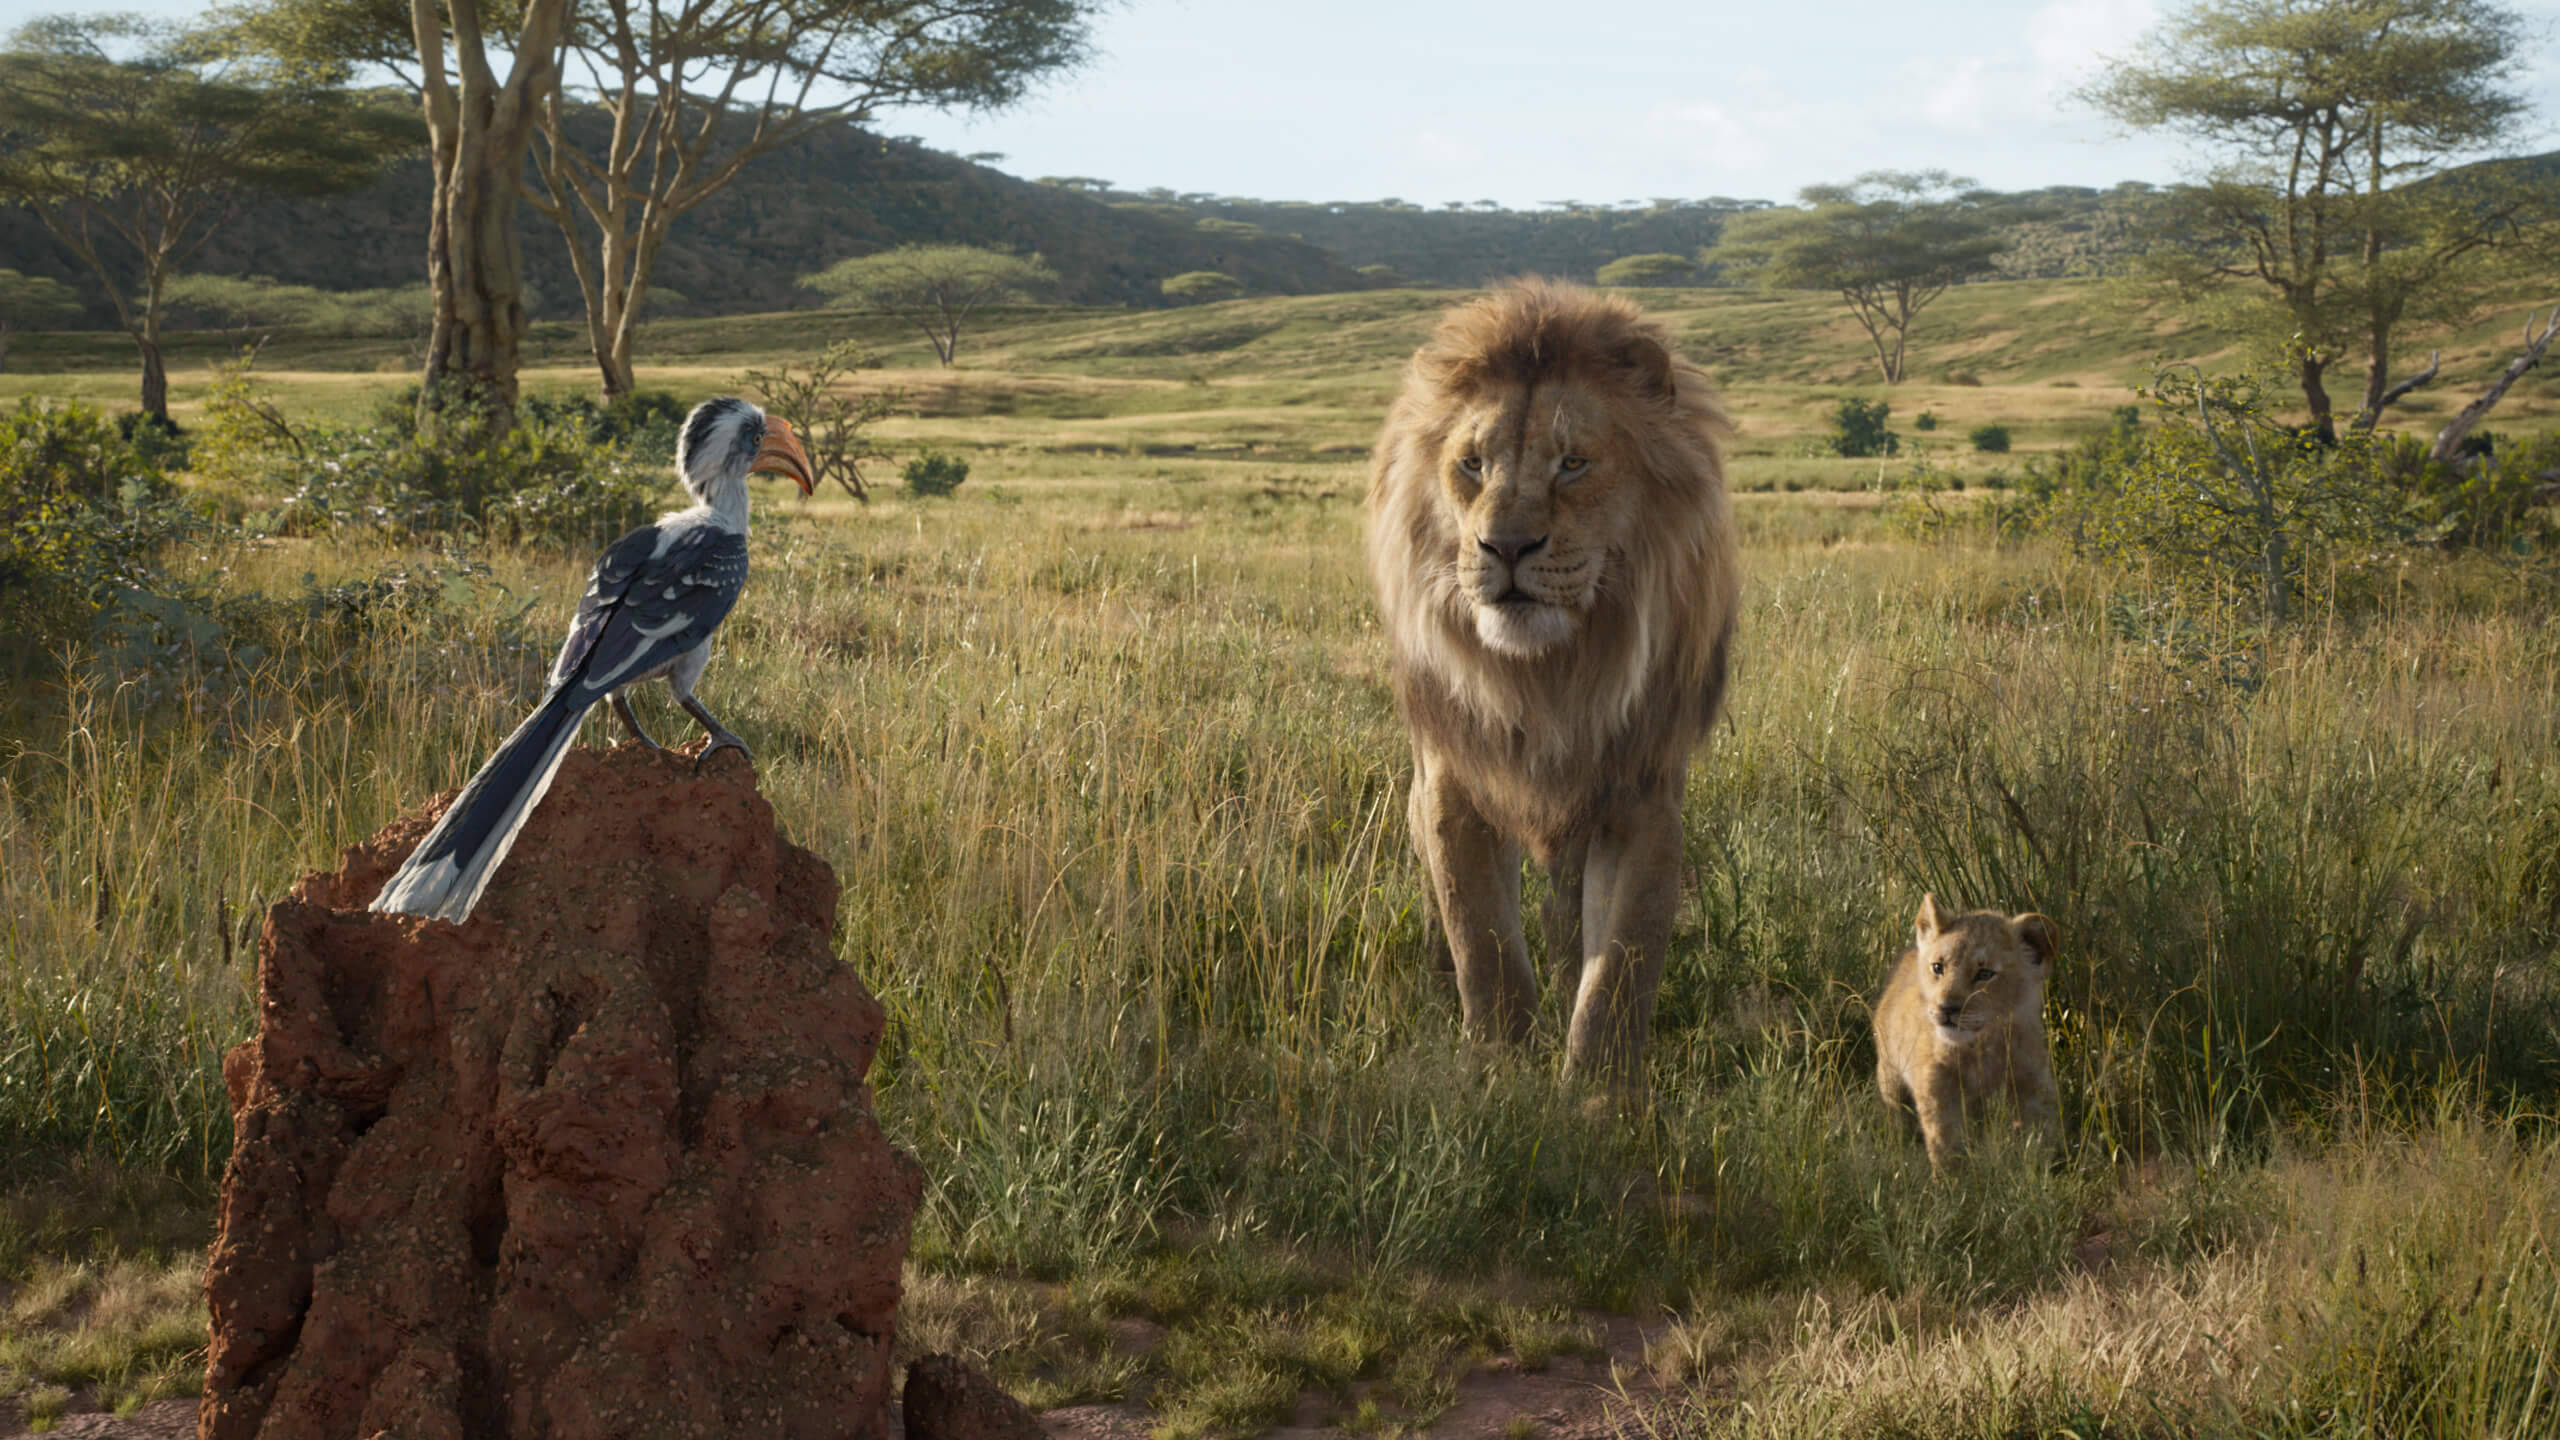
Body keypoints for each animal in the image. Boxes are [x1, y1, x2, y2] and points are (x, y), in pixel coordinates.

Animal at [1365, 279, 1739, 1090]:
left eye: (1572, 463)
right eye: (1473, 464)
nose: (1504, 547)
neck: (1550, 677)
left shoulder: (1643, 795)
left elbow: (1621, 966)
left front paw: (1600, 1096)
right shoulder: (1453, 781)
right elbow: (1483, 943)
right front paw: (1498, 1072)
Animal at [1873, 895, 2062, 1172]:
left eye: (1985, 974)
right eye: (1938, 967)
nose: (1946, 1008)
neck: (1982, 1047)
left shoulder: (2033, 1081)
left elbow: (2040, 1134)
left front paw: (2038, 1170)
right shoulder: (1936, 1086)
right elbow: (1944, 1140)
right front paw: (1950, 1179)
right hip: (1890, 1073)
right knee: (1897, 1115)